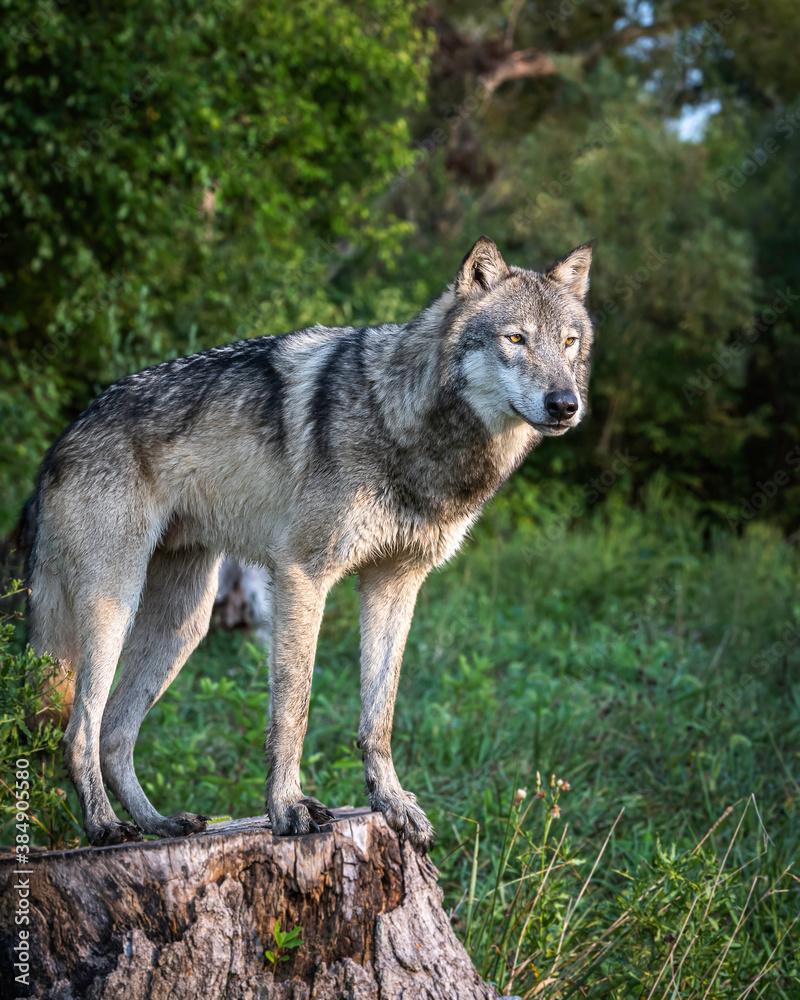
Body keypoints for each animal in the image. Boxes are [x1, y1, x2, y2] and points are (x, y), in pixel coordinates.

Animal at [26, 238, 592, 848]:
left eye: (568, 342)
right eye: (516, 339)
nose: (565, 404)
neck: (404, 423)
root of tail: (64, 436)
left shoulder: (395, 583)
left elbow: (379, 715)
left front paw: (392, 803)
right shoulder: (302, 573)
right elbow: (292, 709)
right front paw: (287, 809)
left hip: (183, 624)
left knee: (113, 732)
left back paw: (159, 824)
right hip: (115, 606)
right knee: (79, 730)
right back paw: (105, 826)